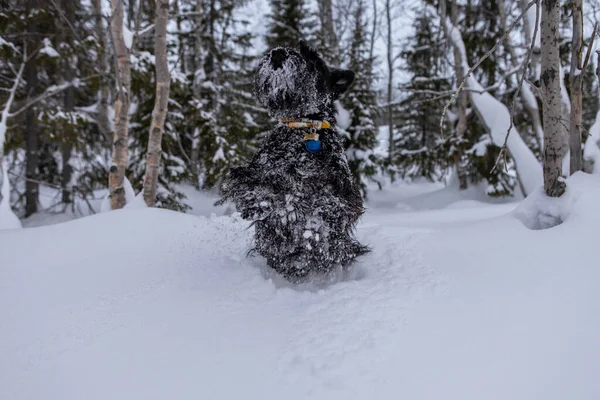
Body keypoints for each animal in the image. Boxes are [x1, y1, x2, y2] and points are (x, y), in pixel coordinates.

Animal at [221, 39, 368, 278]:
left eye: (314, 60)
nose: (278, 54)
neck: (304, 130)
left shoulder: (344, 194)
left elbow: (325, 206)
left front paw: (308, 224)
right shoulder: (250, 173)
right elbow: (260, 189)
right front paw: (270, 205)